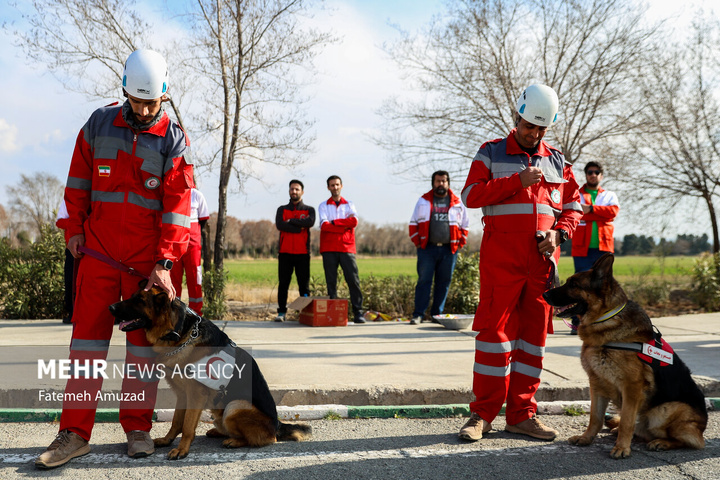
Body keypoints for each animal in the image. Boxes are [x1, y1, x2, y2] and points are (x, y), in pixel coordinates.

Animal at [108, 284, 310, 460]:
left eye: (139, 300)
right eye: (132, 296)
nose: (110, 307)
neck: (180, 332)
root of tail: (278, 425)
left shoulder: (195, 395)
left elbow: (188, 426)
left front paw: (181, 450)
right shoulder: (182, 394)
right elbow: (176, 422)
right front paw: (167, 440)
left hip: (234, 406)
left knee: (265, 439)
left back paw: (233, 441)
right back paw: (219, 432)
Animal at [544, 253, 704, 460]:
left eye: (573, 284)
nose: (544, 295)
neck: (605, 318)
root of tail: (702, 427)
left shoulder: (631, 387)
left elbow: (627, 421)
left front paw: (621, 448)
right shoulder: (596, 384)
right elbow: (595, 417)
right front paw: (586, 438)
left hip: (667, 409)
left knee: (691, 441)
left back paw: (661, 442)